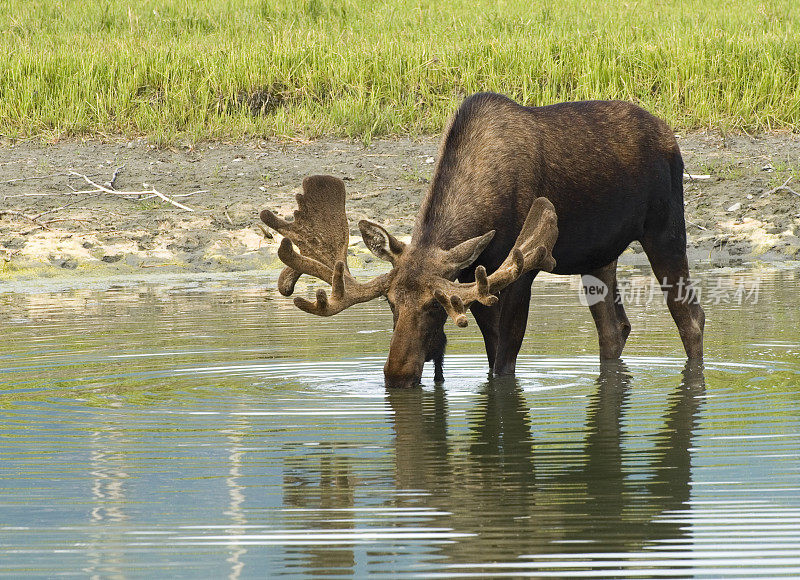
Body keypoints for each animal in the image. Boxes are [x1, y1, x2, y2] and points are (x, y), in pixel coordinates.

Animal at [260, 93, 704, 388]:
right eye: (390, 303)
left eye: (433, 308)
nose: (395, 375)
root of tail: (670, 135)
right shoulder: (474, 279)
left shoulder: (520, 272)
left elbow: (503, 362)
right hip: (599, 256)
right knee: (614, 328)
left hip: (665, 228)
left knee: (690, 317)